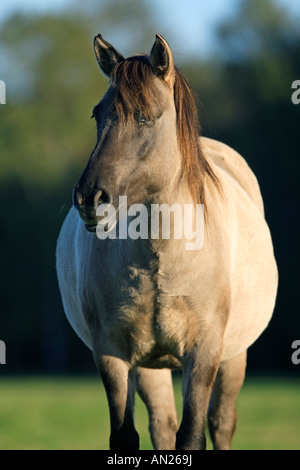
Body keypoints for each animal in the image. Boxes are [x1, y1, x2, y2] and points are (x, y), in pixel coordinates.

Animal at [55, 34, 276, 452]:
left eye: (146, 116)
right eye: (97, 115)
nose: (90, 198)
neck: (162, 256)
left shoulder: (204, 352)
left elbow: (192, 435)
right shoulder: (113, 353)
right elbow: (127, 435)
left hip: (234, 357)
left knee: (221, 423)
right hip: (148, 366)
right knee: (163, 423)